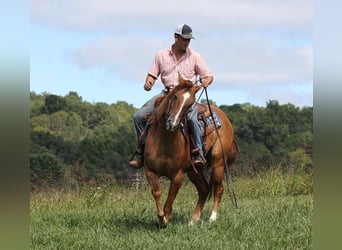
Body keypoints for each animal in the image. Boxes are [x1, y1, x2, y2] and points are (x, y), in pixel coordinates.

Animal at [142, 74, 238, 227]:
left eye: (190, 104)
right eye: (175, 96)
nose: (172, 123)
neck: (165, 140)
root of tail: (224, 118)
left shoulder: (178, 175)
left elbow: (170, 199)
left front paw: (165, 219)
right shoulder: (150, 170)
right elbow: (157, 192)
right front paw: (161, 218)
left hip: (218, 163)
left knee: (218, 189)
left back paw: (212, 217)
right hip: (194, 170)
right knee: (204, 189)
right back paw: (193, 220)